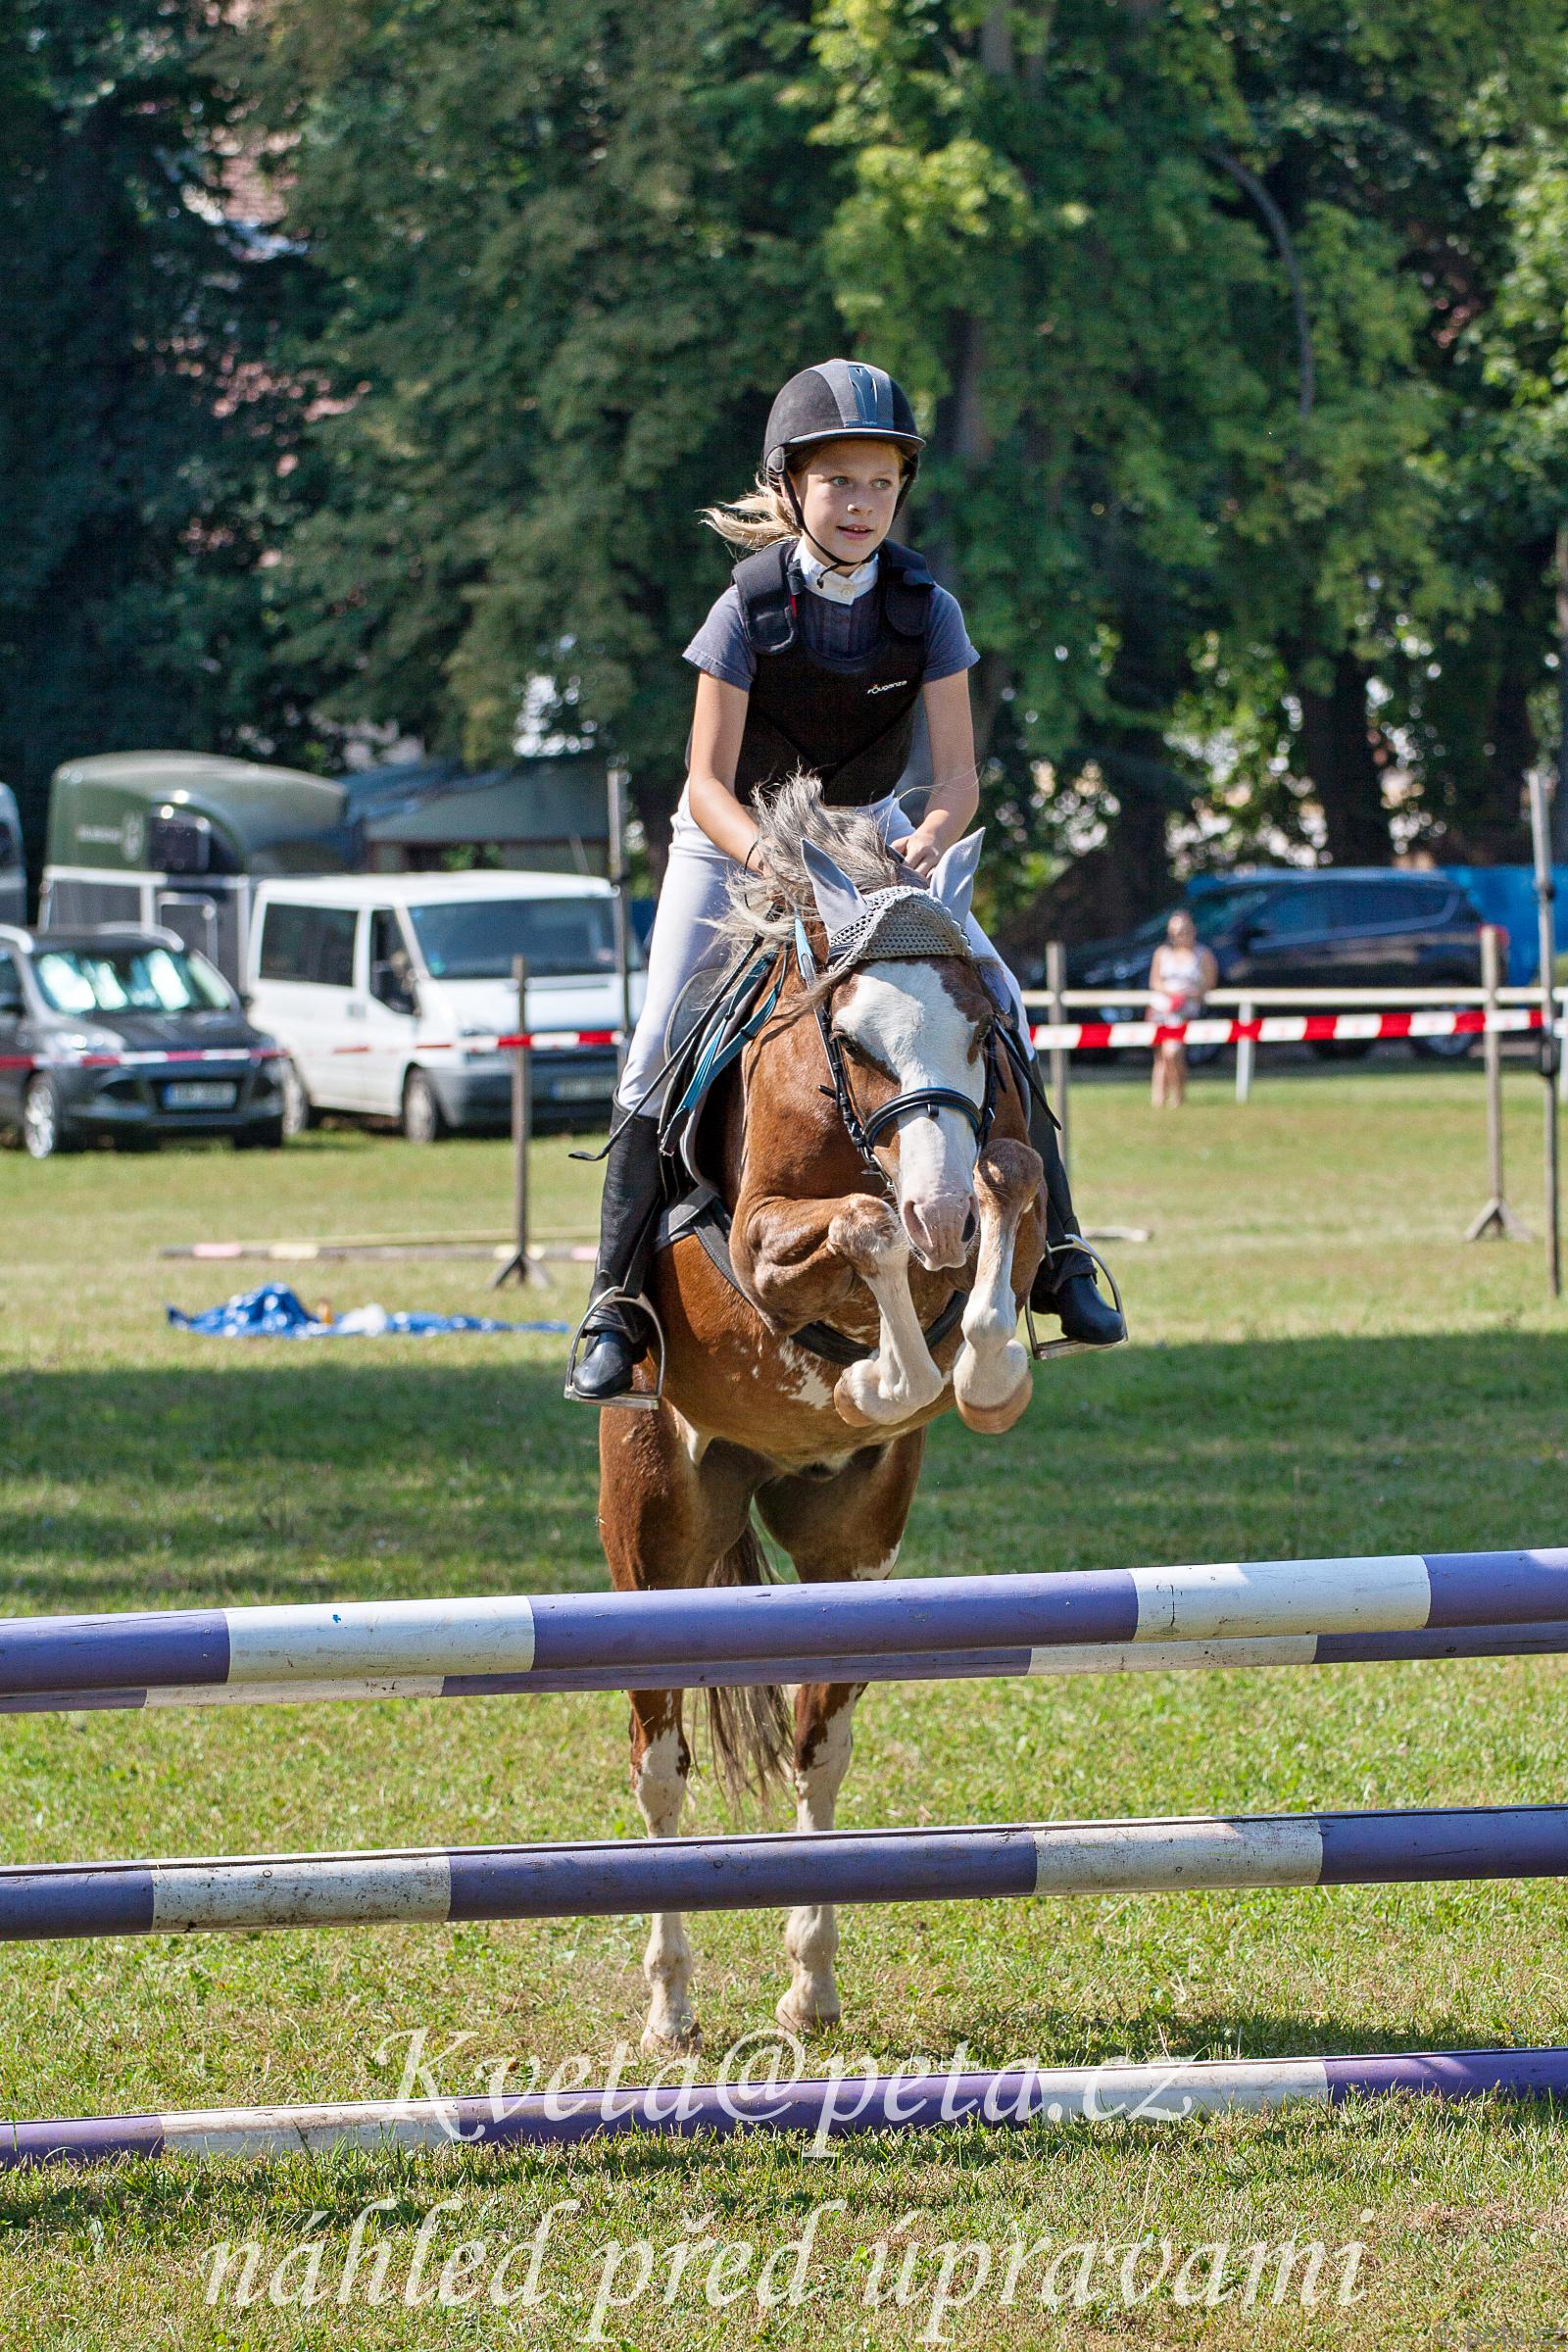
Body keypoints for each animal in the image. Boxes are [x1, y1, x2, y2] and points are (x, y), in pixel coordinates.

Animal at [597, 775, 1047, 2052]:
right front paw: (873, 1379)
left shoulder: (998, 1175)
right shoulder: (761, 1245)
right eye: (852, 1040)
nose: (941, 1212)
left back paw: (810, 1984)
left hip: (850, 1554)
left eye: (983, 1031)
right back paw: (672, 2005)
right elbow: (861, 1224)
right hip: (653, 1538)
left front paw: (980, 1374)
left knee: (817, 1746)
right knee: (661, 1763)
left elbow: (1006, 1188)